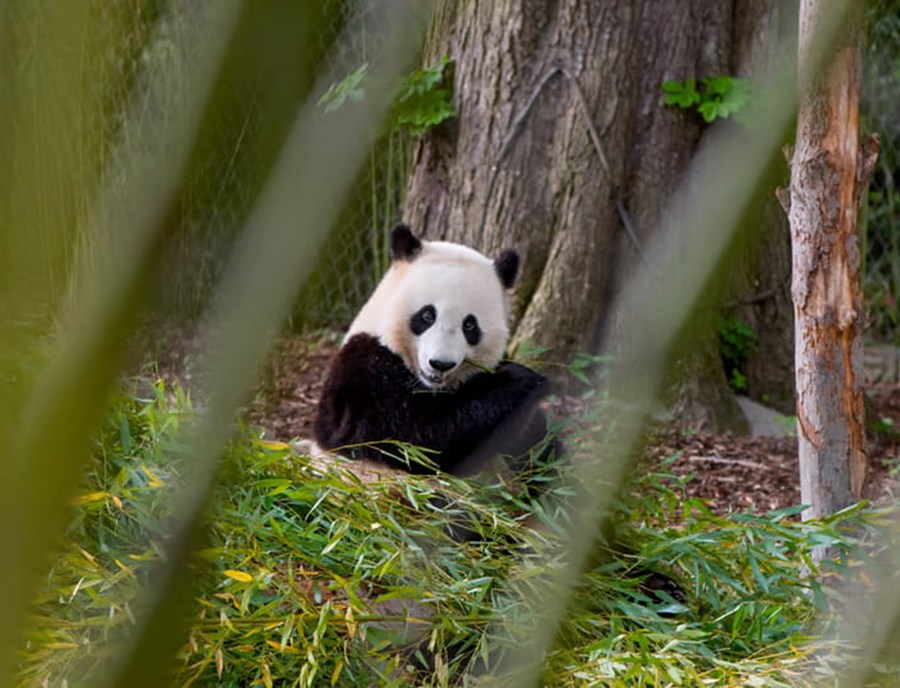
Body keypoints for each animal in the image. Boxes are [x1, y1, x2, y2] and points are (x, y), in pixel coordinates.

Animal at [314, 224, 553, 479]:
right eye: (427, 315)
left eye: (470, 325)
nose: (440, 364)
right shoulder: (364, 373)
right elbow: (416, 440)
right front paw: (524, 380)